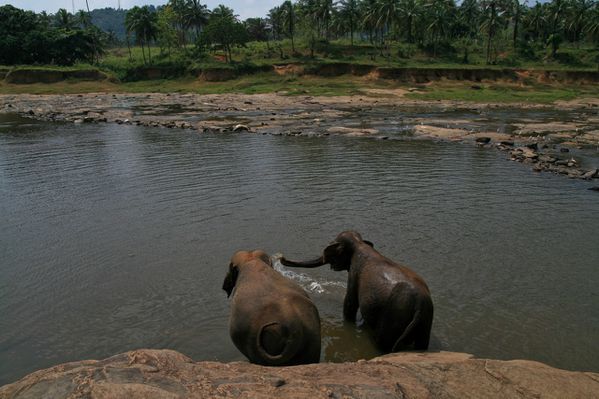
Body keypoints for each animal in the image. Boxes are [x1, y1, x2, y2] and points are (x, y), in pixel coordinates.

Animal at [278, 231, 434, 354]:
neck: (359, 243)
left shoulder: (354, 272)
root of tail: (420, 305)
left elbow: (350, 303)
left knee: (382, 341)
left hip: (393, 315)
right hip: (425, 321)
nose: (281, 257)